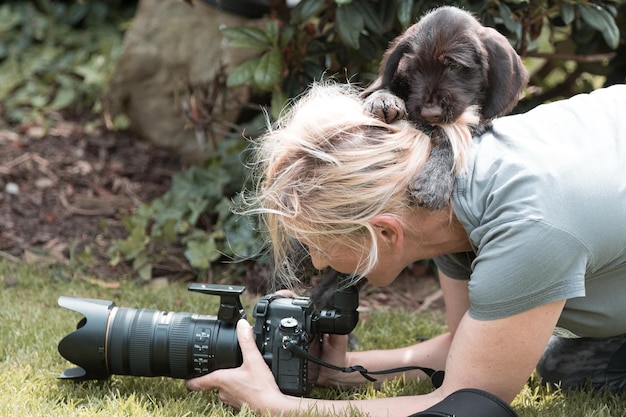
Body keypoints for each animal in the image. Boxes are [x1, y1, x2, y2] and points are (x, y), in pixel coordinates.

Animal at [360, 5, 528, 207]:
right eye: (416, 69)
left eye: (454, 65)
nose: (429, 113)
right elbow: (383, 87)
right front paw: (383, 99)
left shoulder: (478, 120)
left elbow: (453, 138)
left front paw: (433, 181)